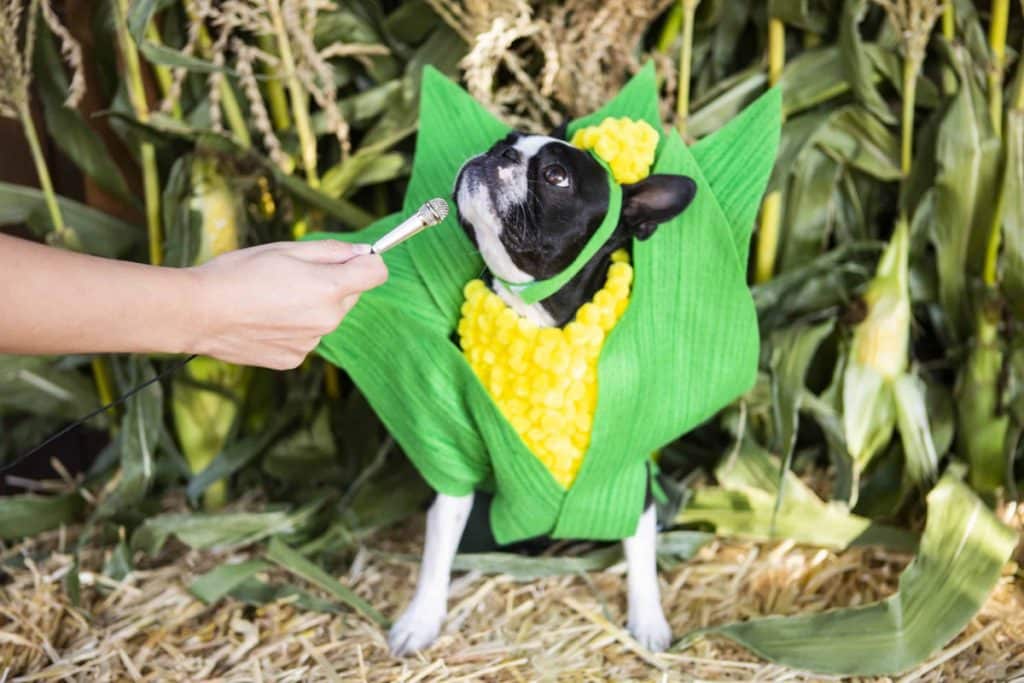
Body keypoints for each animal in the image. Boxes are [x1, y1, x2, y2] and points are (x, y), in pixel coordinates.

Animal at [387, 129, 700, 655]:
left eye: (556, 176)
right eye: (505, 141)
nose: (500, 153)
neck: (538, 319)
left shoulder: (627, 464)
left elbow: (639, 548)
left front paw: (648, 620)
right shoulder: (459, 459)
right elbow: (438, 541)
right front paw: (421, 617)